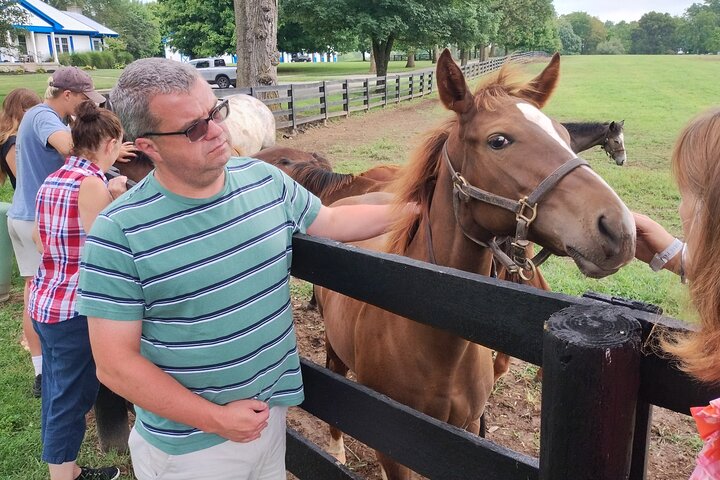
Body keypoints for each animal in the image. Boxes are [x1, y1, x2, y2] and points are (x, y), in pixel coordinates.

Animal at [314, 49, 636, 480]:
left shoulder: (464, 432)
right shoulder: (394, 445)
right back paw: (336, 449)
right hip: (335, 348)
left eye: (566, 138)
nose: (620, 228)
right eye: (498, 140)